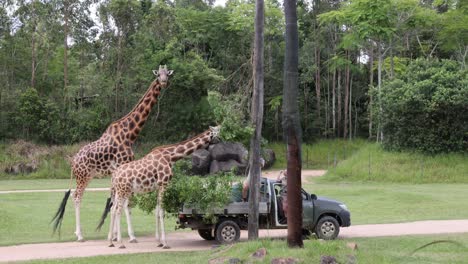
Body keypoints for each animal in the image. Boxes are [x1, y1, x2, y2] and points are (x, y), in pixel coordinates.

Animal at [51, 64, 175, 241]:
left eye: (168, 74)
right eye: (158, 74)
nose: (164, 82)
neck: (130, 134)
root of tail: (73, 162)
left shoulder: (122, 170)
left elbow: (117, 202)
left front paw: (116, 235)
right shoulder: (122, 166)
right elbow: (125, 203)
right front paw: (130, 236)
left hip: (86, 177)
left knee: (76, 196)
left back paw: (78, 232)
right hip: (83, 177)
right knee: (77, 197)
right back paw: (80, 235)